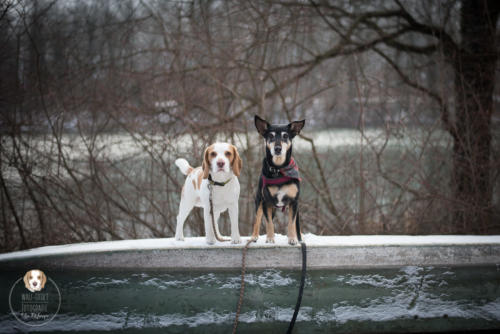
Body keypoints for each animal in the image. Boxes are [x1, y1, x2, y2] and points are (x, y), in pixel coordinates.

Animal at [250, 115, 304, 245]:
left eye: (285, 136)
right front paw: (270, 238)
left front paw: (293, 238)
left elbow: (292, 223)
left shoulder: (294, 202)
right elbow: (269, 223)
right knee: (257, 219)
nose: (278, 149)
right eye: (271, 136)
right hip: (259, 201)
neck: (279, 170)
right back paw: (254, 236)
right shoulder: (266, 202)